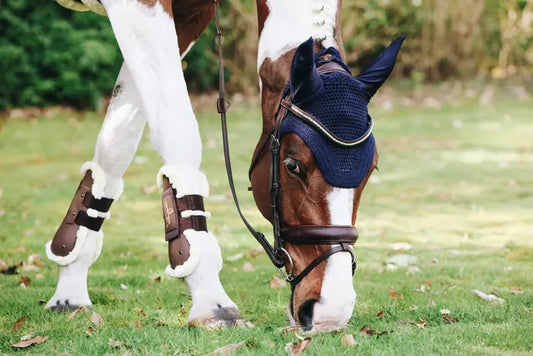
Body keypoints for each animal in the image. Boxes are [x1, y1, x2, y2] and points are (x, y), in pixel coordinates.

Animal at [46, 0, 404, 334]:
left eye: (371, 170)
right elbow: (176, 131)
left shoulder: (188, 16)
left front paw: (70, 288)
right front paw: (211, 301)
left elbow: (117, 142)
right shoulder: (139, 6)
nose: (330, 309)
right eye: (293, 165)